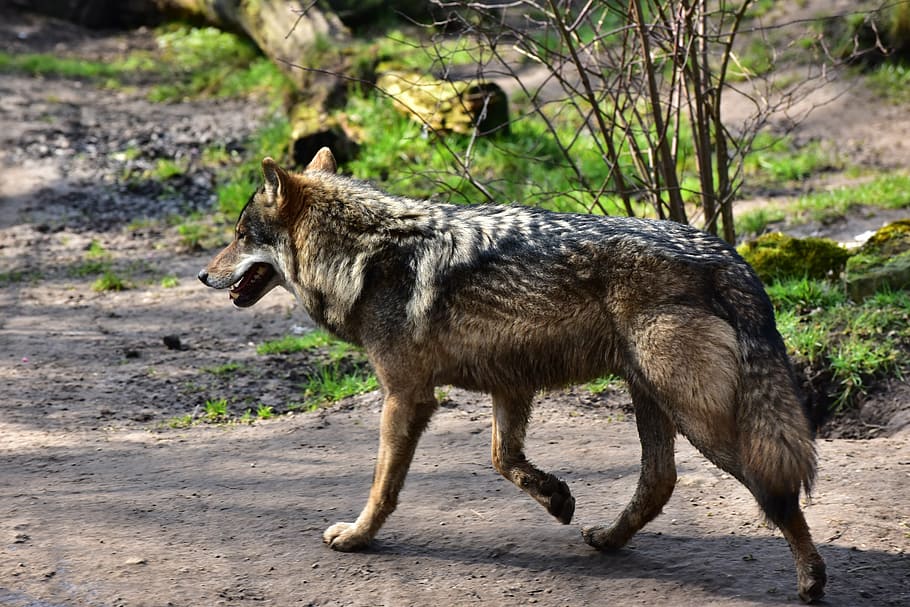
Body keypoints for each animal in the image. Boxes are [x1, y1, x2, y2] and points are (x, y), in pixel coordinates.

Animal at [198, 148, 827, 602]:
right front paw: (557, 498)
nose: (203, 275)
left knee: (772, 491)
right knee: (659, 481)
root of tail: (729, 255)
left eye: (241, 234)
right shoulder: (510, 384)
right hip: (650, 395)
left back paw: (811, 580)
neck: (364, 256)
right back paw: (607, 539)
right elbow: (505, 459)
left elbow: (383, 485)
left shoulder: (407, 396)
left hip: (699, 418)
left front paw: (358, 536)